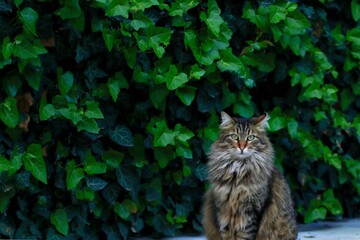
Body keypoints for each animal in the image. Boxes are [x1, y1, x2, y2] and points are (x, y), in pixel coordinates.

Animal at [202, 111, 298, 240]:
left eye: (251, 138)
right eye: (234, 137)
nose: (242, 147)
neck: (238, 171)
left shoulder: (251, 212)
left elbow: (245, 235)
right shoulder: (223, 210)